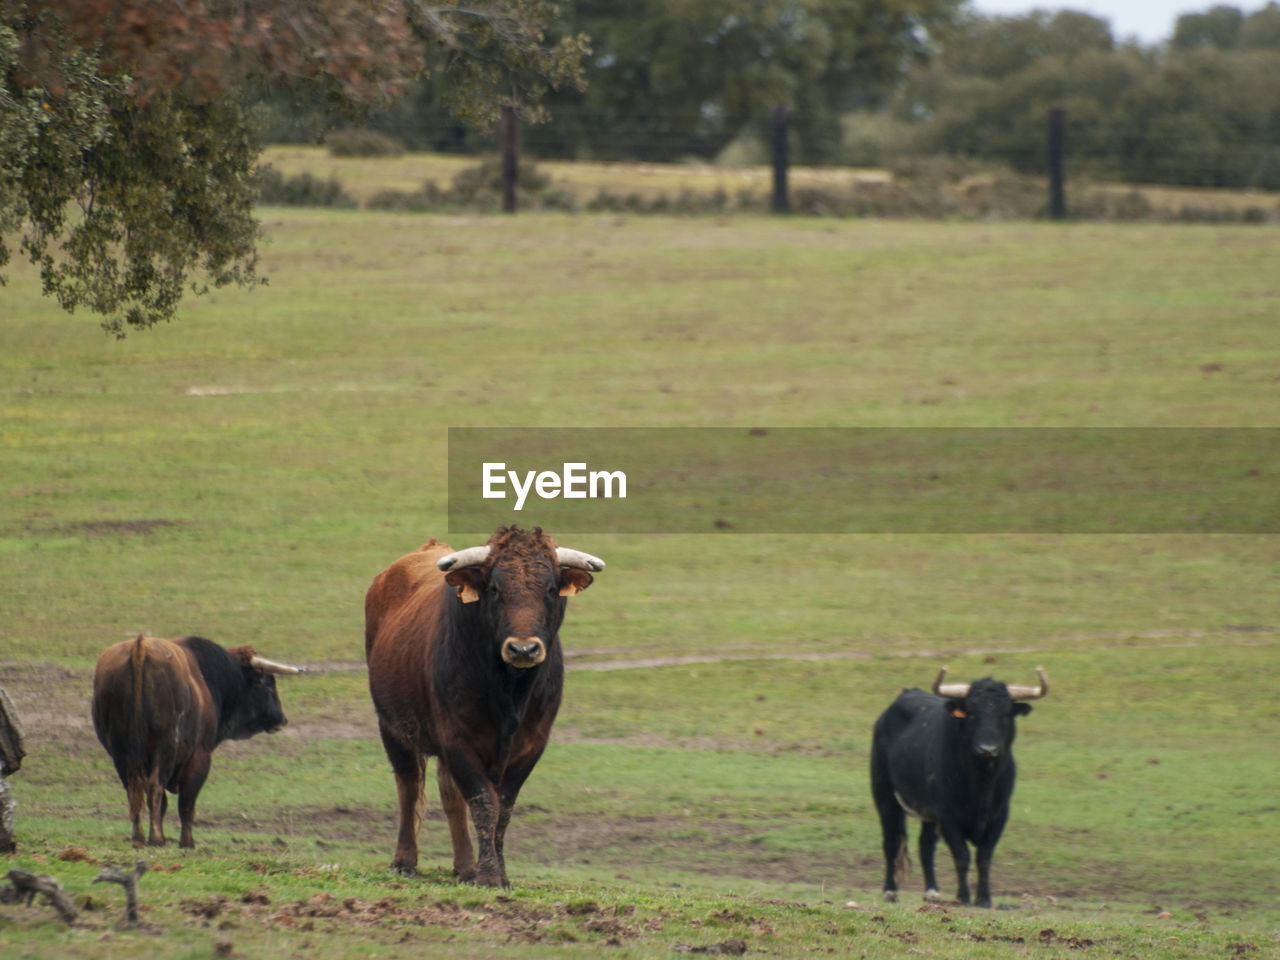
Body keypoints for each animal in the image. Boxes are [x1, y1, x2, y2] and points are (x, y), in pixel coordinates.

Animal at [92, 640, 302, 849]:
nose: (282, 719)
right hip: (165, 748)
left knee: (134, 789)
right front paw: (187, 842)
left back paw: (139, 838)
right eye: (268, 683)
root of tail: (140, 646)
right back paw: (156, 838)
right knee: (155, 787)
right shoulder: (200, 756)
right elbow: (186, 804)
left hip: (121, 753)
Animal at [360, 527, 599, 885]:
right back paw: (405, 861)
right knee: (409, 785)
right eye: (495, 588)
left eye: (550, 589)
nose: (524, 649)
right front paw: (488, 876)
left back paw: (464, 866)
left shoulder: (531, 745)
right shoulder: (456, 739)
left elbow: (503, 809)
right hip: (392, 728)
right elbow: (484, 803)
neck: (509, 691)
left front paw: (498, 873)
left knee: (449, 795)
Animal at [870, 670, 1049, 911]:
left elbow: (984, 857)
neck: (981, 785)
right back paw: (890, 892)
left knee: (925, 846)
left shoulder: (999, 816)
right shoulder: (948, 817)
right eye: (971, 714)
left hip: (928, 813)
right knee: (891, 842)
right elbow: (961, 856)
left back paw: (932, 892)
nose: (987, 749)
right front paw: (963, 897)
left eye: (1005, 714)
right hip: (885, 796)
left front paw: (984, 899)